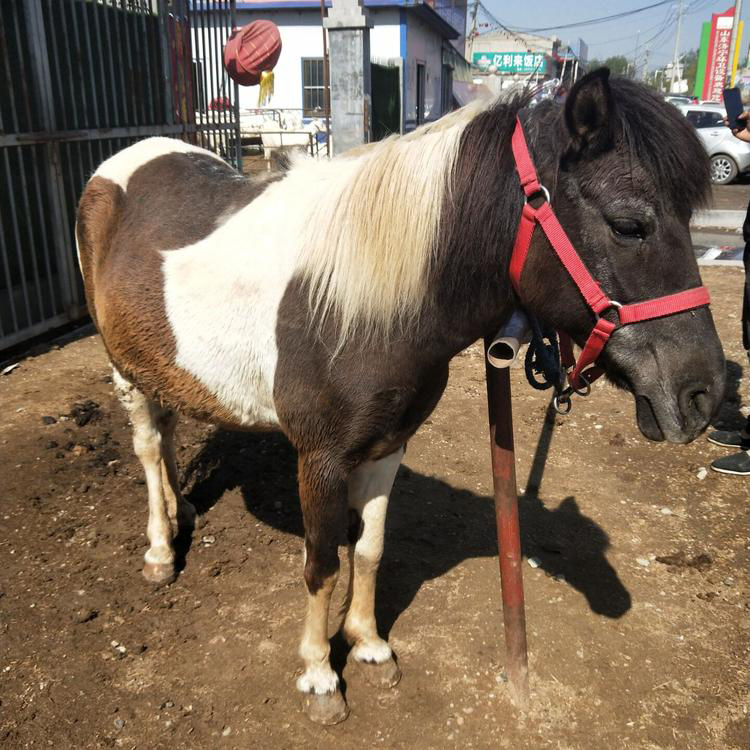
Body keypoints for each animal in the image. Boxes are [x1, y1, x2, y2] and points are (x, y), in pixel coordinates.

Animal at [78, 72, 728, 728]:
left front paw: (368, 646)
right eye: (628, 225)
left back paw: (183, 510)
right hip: (122, 368)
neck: (358, 305)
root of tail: (120, 164)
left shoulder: (388, 446)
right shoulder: (319, 459)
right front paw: (319, 676)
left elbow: (369, 549)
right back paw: (161, 549)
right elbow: (322, 565)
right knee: (148, 445)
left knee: (168, 431)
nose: (703, 394)